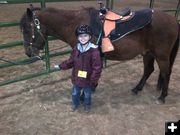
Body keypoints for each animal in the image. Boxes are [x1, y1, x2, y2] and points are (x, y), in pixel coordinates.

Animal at [19, 6, 179, 103]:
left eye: (26, 29)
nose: (28, 52)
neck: (76, 24)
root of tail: (173, 20)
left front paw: (84, 95)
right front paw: (92, 88)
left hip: (161, 55)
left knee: (166, 73)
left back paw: (162, 96)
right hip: (148, 53)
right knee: (148, 70)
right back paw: (137, 89)